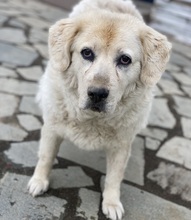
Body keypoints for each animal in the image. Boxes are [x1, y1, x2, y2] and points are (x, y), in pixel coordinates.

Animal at [27, 0, 172, 219]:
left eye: (125, 59)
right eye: (87, 53)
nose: (96, 94)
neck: (92, 119)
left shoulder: (122, 144)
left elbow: (114, 177)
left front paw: (111, 203)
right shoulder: (52, 128)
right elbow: (46, 157)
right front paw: (39, 181)